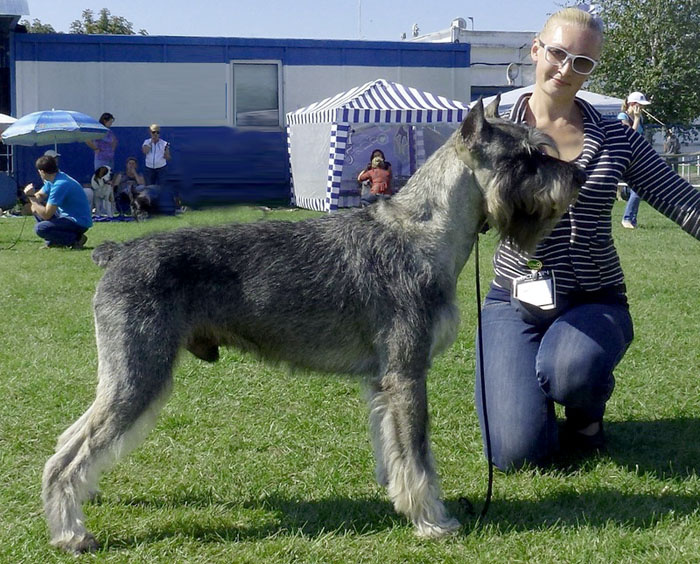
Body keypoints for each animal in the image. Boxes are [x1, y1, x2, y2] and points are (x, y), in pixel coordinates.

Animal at [41, 96, 584, 552]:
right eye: (525, 157)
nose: (577, 176)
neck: (424, 233)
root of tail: (117, 253)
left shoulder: (383, 382)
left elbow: (394, 449)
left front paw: (403, 502)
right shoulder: (407, 374)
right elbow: (418, 452)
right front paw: (433, 519)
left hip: (126, 377)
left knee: (69, 440)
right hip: (137, 376)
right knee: (66, 456)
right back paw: (71, 533)